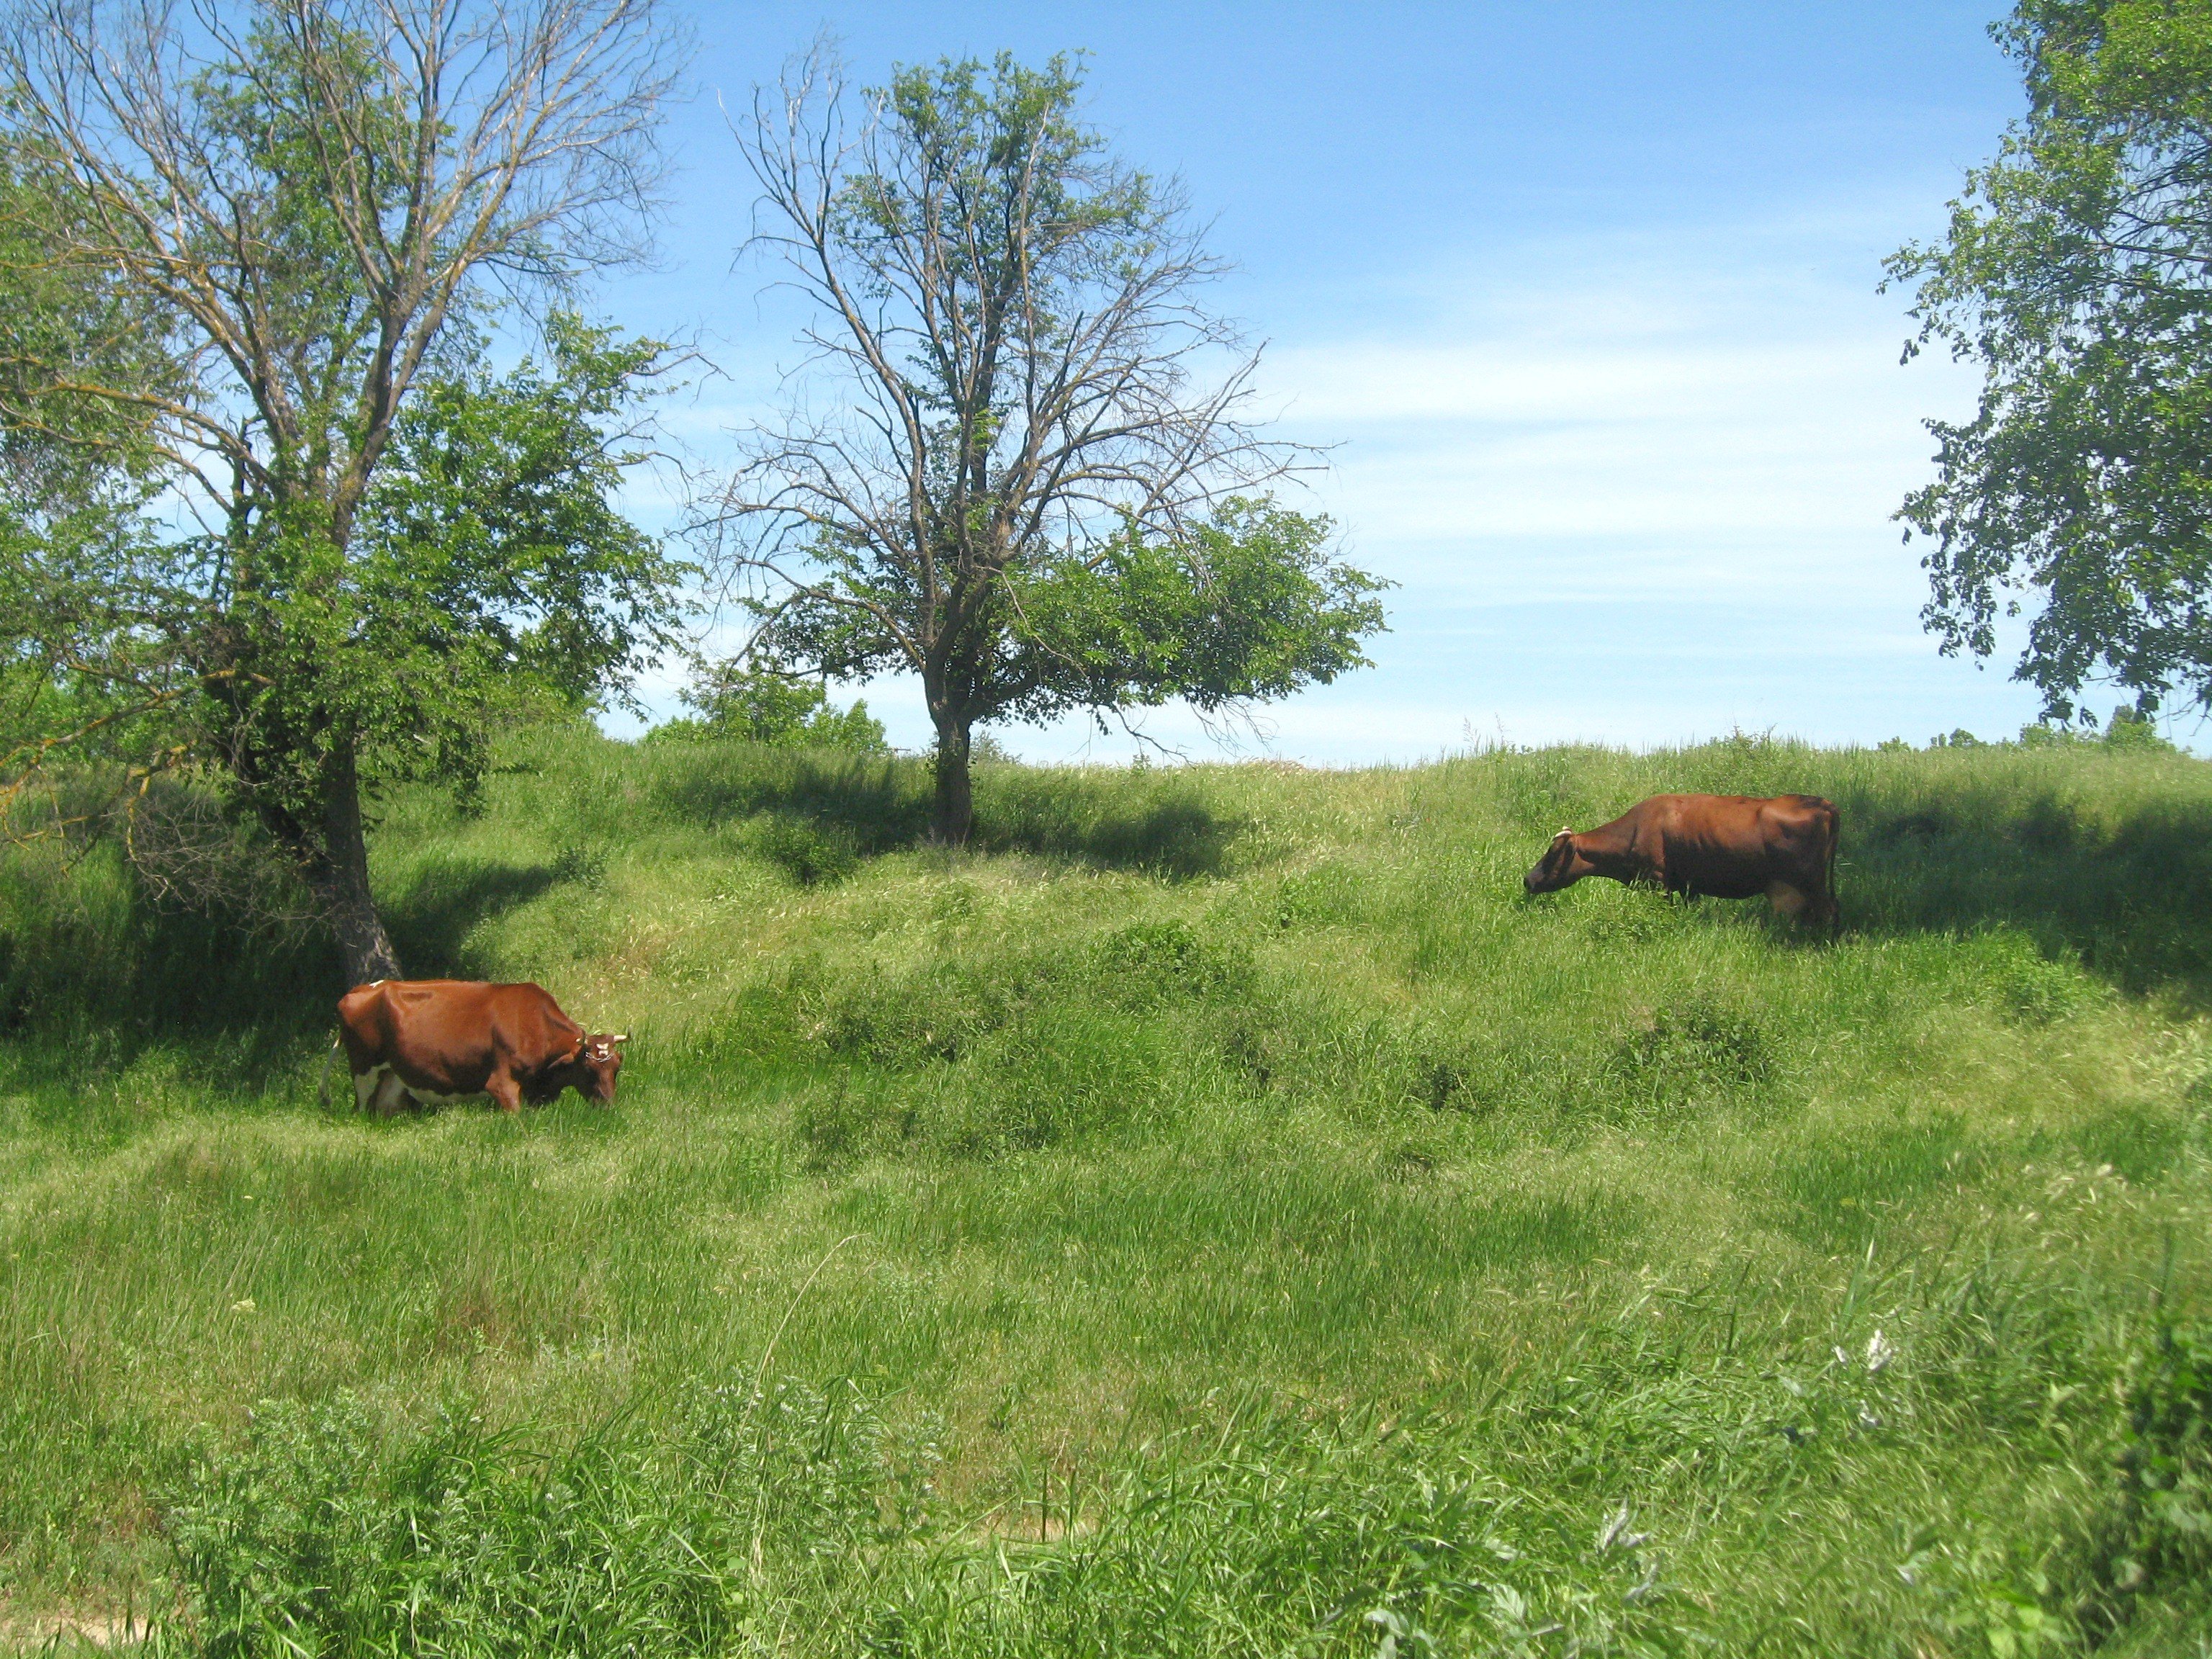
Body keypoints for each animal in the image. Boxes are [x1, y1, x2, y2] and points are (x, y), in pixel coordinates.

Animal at [338, 986, 632, 1119]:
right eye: (589, 1069)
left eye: (616, 1067)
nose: (608, 1106)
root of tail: (358, 990)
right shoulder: (501, 1083)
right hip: (363, 1072)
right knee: (360, 1110)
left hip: (393, 1079)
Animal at [1521, 796, 1849, 929]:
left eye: (1551, 854)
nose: (1528, 879)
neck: (1639, 827)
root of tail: (1824, 804)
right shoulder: (1688, 886)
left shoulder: (1658, 882)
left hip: (1810, 883)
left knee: (1828, 911)